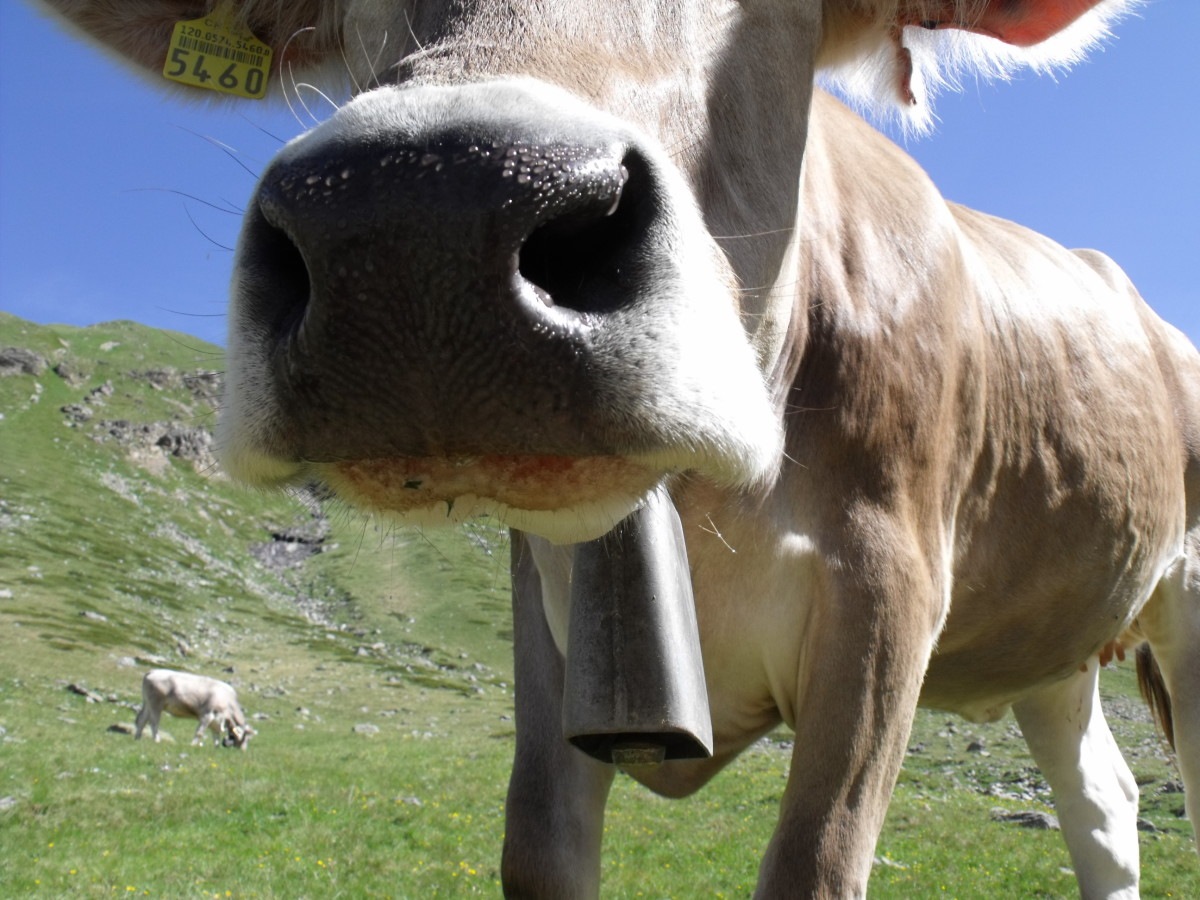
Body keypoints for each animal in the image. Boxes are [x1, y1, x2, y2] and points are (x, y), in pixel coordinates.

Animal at [33, 0, 1197, 897]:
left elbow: (815, 863)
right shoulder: (545, 608)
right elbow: (539, 847)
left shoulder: (889, 587)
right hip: (1054, 643)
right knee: (1104, 801)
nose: (422, 220)